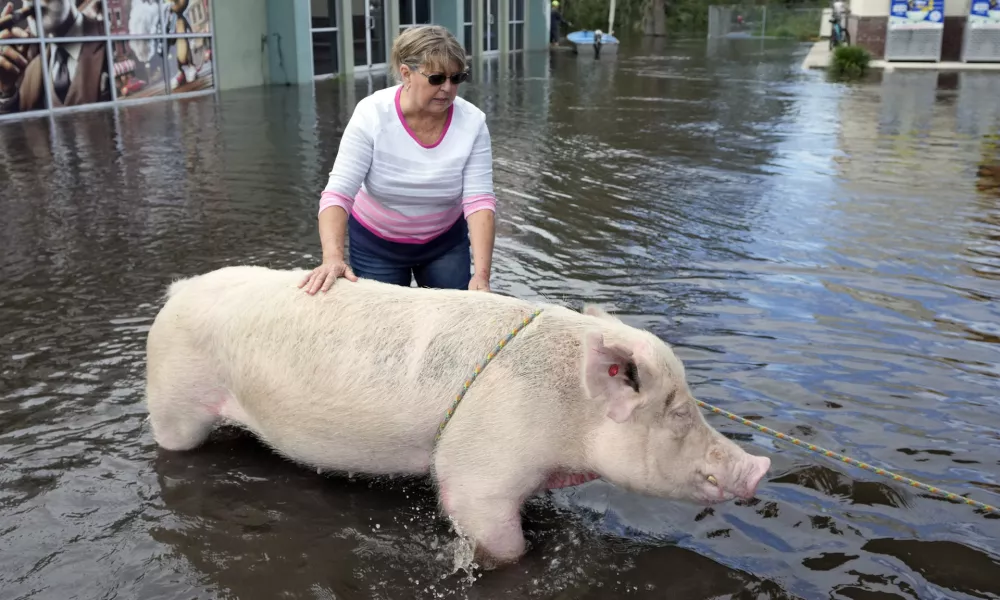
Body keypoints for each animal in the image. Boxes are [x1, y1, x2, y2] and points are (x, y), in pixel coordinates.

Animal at [145, 266, 772, 568]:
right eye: (678, 412)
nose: (761, 465)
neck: (570, 422)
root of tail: (177, 291)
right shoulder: (481, 475)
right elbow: (501, 542)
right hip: (174, 403)